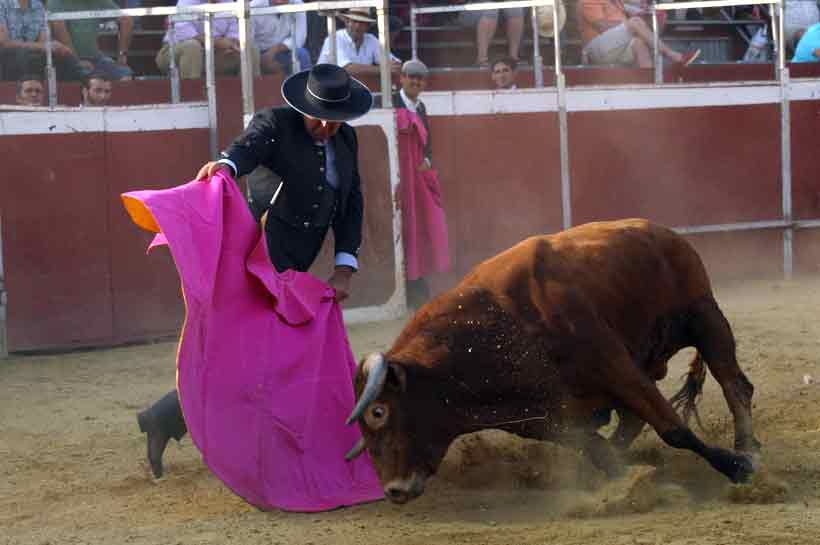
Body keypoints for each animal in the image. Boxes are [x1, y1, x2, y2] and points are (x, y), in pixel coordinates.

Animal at [342, 219, 760, 504]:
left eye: (378, 411)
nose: (394, 490)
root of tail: (662, 232)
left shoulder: (616, 367)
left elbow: (674, 430)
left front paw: (737, 467)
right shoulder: (540, 416)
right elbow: (596, 448)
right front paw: (621, 481)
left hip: (704, 317)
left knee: (734, 384)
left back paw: (749, 447)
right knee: (632, 422)